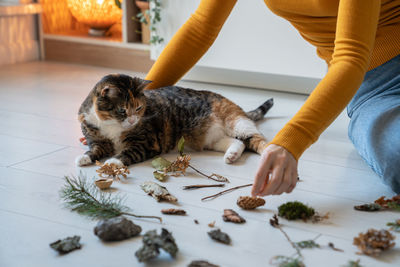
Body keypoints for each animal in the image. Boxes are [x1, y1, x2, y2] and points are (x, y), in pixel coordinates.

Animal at [75, 74, 274, 168]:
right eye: (122, 110)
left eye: (138, 108)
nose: (132, 121)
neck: (111, 126)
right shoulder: (97, 140)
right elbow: (94, 150)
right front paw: (84, 158)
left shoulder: (146, 144)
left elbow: (127, 153)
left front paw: (112, 163)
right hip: (213, 139)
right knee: (238, 143)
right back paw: (231, 156)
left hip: (236, 123)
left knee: (257, 140)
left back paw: (268, 155)